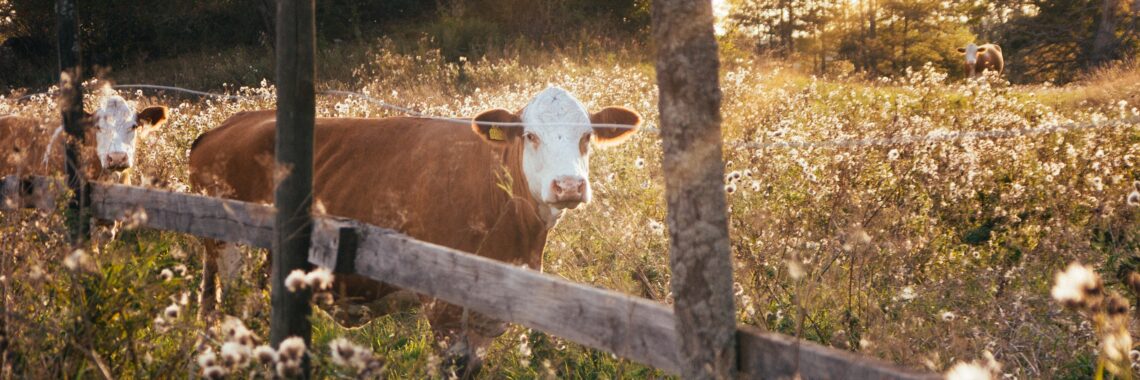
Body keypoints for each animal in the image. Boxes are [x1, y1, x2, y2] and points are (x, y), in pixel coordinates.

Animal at [191, 86, 647, 376]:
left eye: (587, 136)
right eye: (530, 136)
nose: (569, 186)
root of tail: (225, 126)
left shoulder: (489, 316)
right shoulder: (443, 309)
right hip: (232, 254)